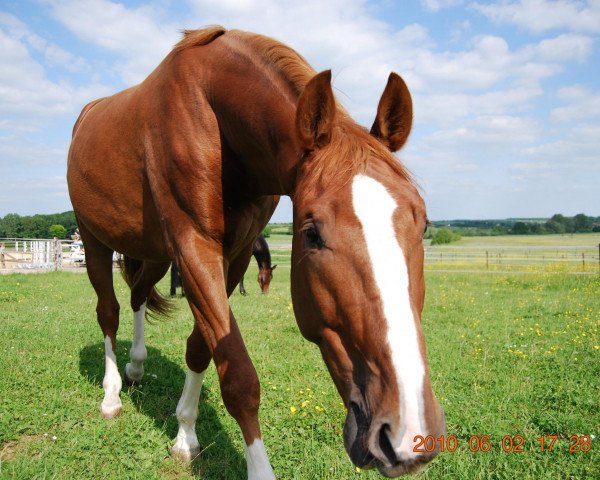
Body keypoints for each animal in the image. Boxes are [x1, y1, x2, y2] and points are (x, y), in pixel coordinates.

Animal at [67, 27, 446, 480]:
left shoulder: (235, 254)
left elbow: (202, 347)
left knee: (138, 294)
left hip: (154, 252)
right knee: (108, 311)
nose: (408, 433)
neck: (212, 114)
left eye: (423, 224)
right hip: (95, 240)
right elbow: (239, 377)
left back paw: (137, 365)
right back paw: (111, 396)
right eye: (311, 233)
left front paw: (185, 433)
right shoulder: (194, 247)